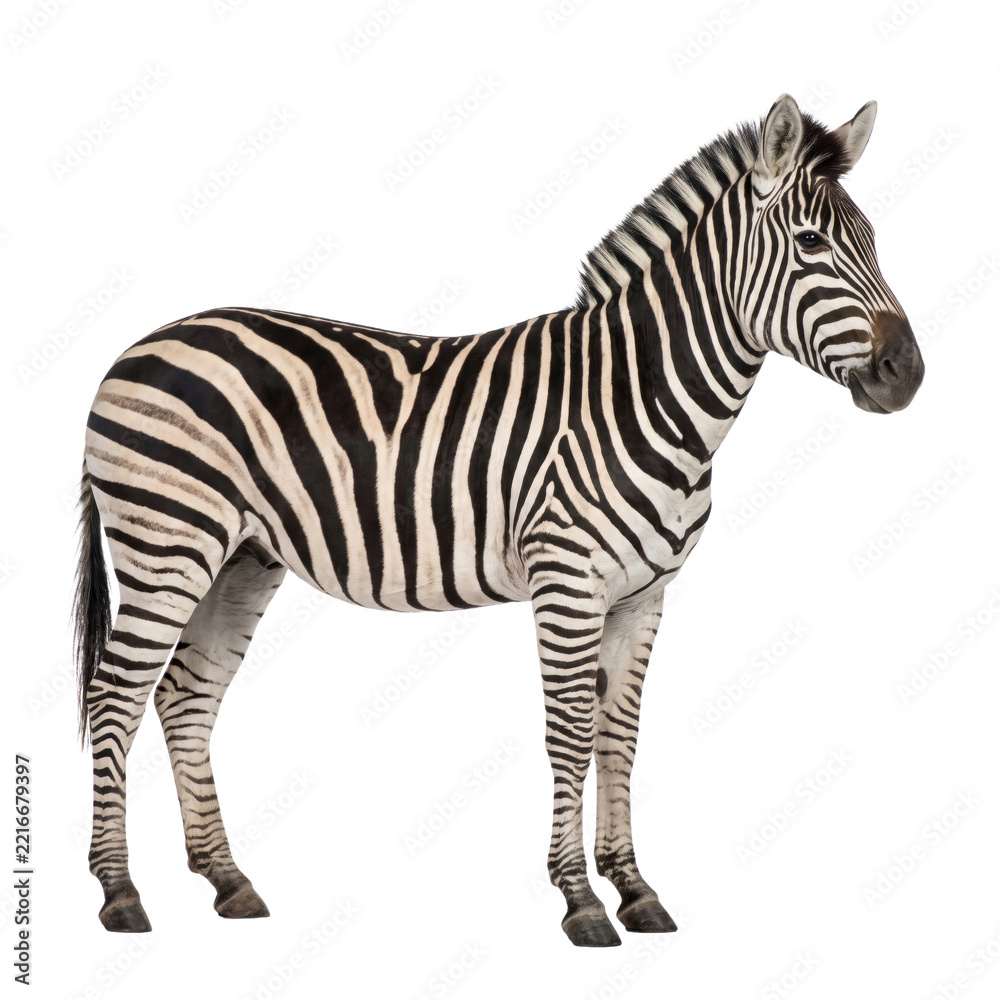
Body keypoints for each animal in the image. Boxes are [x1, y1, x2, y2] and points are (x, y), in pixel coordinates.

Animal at [73, 94, 924, 946]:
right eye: (811, 243)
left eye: (874, 241)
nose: (907, 373)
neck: (641, 396)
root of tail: (135, 348)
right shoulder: (569, 584)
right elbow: (570, 733)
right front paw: (580, 899)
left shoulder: (644, 596)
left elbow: (619, 736)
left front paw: (635, 889)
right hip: (167, 544)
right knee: (113, 696)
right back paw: (120, 892)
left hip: (241, 557)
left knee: (185, 697)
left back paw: (227, 880)